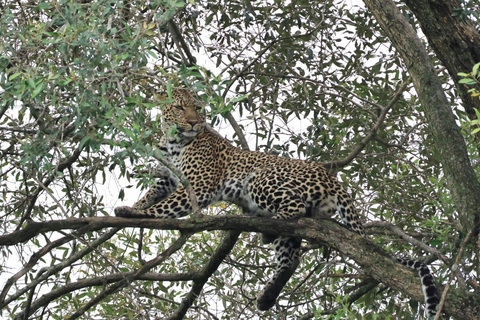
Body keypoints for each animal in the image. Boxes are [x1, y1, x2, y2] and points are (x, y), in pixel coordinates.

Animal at [115, 86, 438, 316]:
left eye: (198, 108)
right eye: (180, 107)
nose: (195, 123)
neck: (172, 141)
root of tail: (332, 177)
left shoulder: (199, 185)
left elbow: (163, 207)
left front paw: (136, 214)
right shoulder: (167, 180)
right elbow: (150, 196)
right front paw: (132, 207)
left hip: (259, 180)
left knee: (293, 210)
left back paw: (266, 226)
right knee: (292, 257)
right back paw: (268, 295)